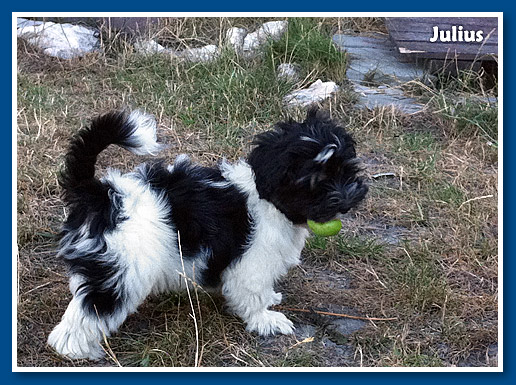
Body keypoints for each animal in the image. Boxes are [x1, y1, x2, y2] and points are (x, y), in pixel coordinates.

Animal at [48, 107, 366, 356]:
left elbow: (262, 288)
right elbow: (251, 293)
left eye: (346, 170)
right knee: (92, 309)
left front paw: (270, 298)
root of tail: (101, 194)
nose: (347, 200)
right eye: (314, 180)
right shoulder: (252, 263)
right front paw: (266, 320)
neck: (268, 198)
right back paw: (74, 349)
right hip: (121, 268)